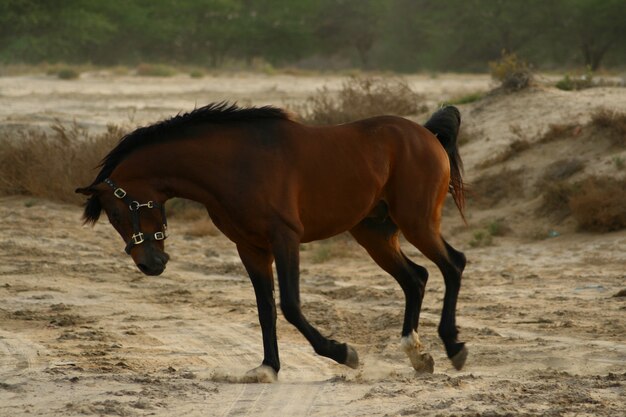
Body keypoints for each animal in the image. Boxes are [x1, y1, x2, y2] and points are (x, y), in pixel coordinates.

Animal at [75, 102, 466, 382]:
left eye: (118, 213)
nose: (150, 264)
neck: (235, 163)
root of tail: (426, 134)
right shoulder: (250, 248)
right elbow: (265, 308)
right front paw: (268, 367)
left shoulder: (285, 238)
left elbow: (290, 305)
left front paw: (342, 353)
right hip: (374, 234)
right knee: (416, 278)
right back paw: (418, 355)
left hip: (417, 223)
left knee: (453, 265)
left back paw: (453, 346)